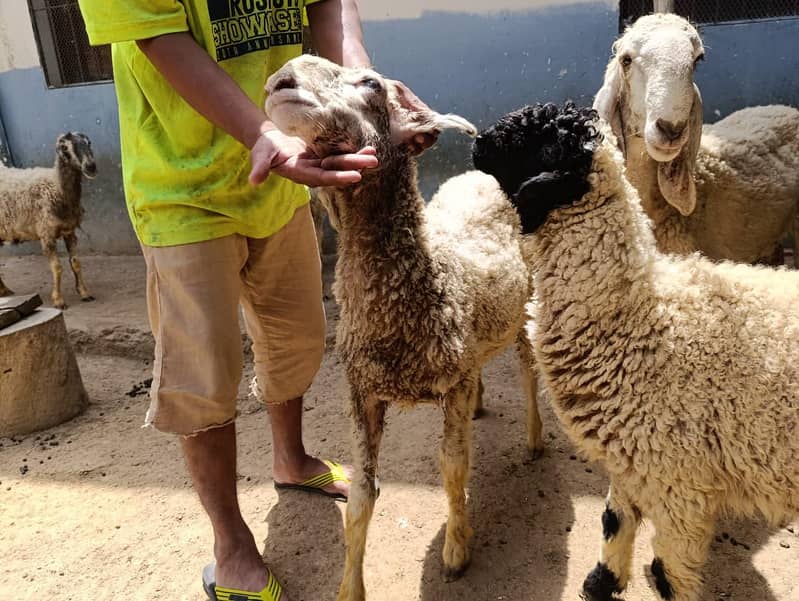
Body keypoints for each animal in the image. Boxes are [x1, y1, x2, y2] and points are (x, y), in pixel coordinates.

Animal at [0, 132, 96, 308]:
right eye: (65, 148)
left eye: (88, 143)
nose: (91, 167)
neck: (56, 187)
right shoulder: (47, 234)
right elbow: (57, 267)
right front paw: (58, 300)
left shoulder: (69, 231)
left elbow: (76, 262)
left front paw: (84, 293)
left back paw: (5, 291)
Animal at [263, 54, 542, 601]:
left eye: (371, 83)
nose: (281, 80)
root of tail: (478, 176)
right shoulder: (362, 393)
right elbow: (362, 496)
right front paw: (349, 588)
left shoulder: (451, 387)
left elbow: (453, 468)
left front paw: (456, 550)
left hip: (523, 306)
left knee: (526, 370)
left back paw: (536, 437)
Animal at [472, 101, 799, 601]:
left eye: (537, 143)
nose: (477, 142)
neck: (633, 316)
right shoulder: (632, 463)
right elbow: (613, 521)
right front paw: (601, 582)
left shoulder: (679, 485)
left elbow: (669, 574)